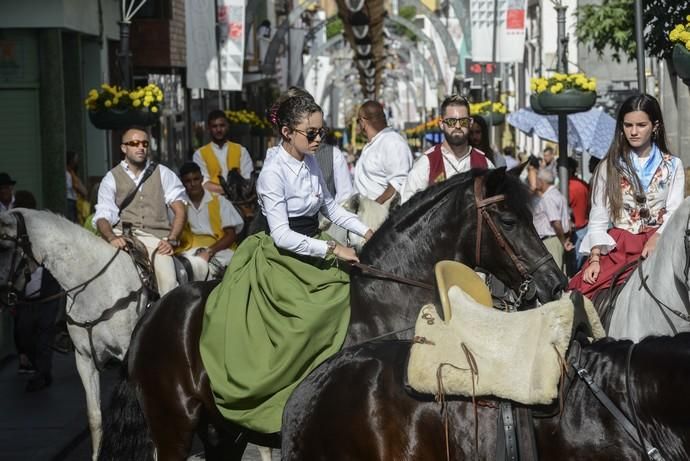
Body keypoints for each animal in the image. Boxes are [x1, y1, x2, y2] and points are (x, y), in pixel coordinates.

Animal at [99, 169, 568, 460]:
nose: (555, 283)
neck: (386, 299)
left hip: (220, 433)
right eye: (508, 220)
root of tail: (152, 315)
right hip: (173, 428)